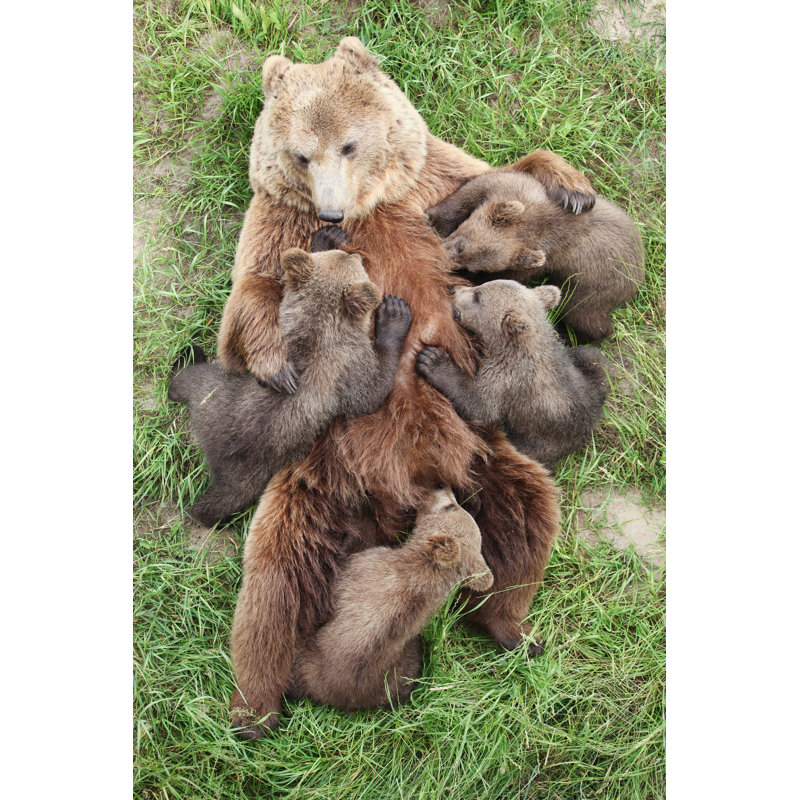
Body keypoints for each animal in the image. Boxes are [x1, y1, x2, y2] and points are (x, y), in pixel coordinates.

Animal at [168, 245, 413, 526]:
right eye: (354, 262)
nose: (356, 253)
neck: (317, 324)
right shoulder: (348, 368)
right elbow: (372, 391)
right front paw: (395, 314)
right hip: (243, 436)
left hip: (217, 397)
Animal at [284, 486, 493, 714]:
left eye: (449, 506)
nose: (441, 486)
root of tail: (337, 699)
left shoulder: (363, 568)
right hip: (401, 671)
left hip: (307, 661)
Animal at [415, 280, 610, 473]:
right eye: (480, 286)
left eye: (478, 296)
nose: (453, 289)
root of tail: (590, 424)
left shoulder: (508, 378)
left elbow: (479, 405)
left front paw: (433, 359)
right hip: (589, 373)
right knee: (595, 359)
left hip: (541, 438)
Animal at [425, 169, 644, 342]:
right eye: (461, 246)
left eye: (475, 267)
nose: (443, 261)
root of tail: (639, 273)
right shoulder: (505, 187)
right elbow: (468, 193)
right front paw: (434, 218)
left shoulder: (545, 258)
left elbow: (512, 277)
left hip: (593, 284)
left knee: (583, 313)